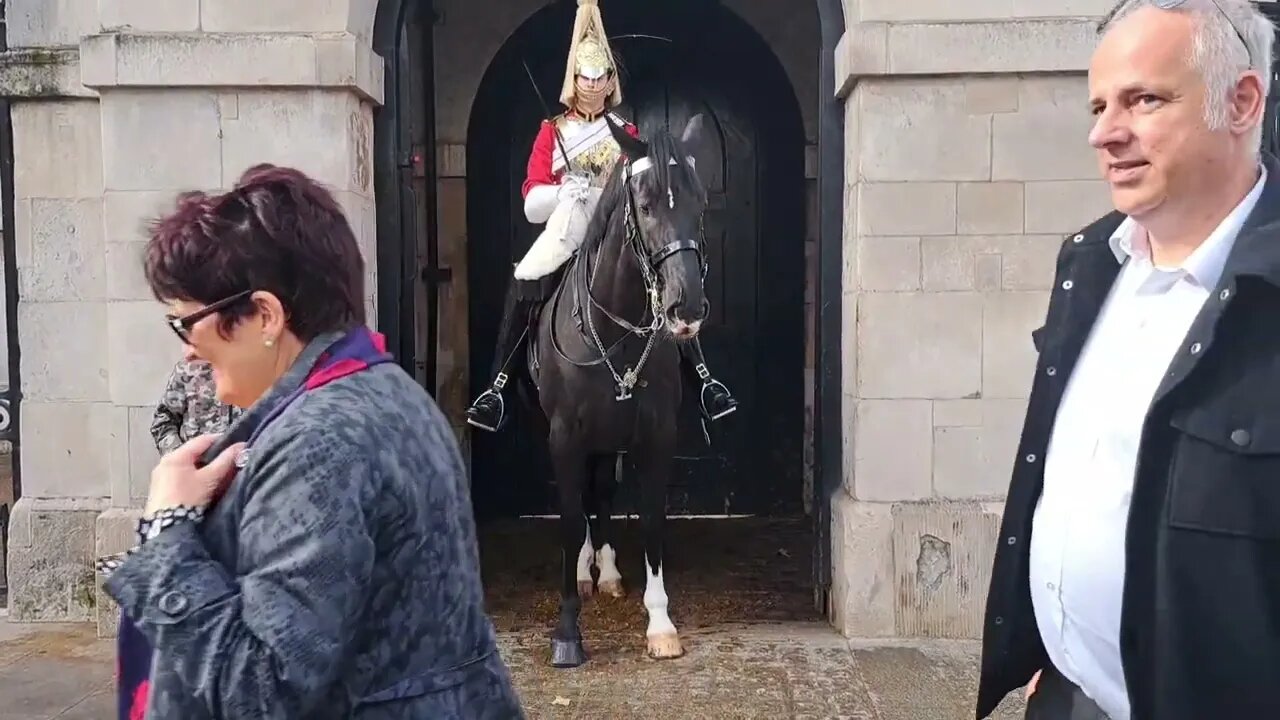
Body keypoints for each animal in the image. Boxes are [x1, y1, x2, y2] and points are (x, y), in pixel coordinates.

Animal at [524, 112, 716, 666]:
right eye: (646, 205)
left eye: (700, 203)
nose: (685, 307)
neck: (614, 330)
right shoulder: (564, 436)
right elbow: (569, 520)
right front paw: (567, 631)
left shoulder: (655, 435)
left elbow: (649, 518)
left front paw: (660, 623)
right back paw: (587, 570)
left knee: (603, 494)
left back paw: (605, 572)